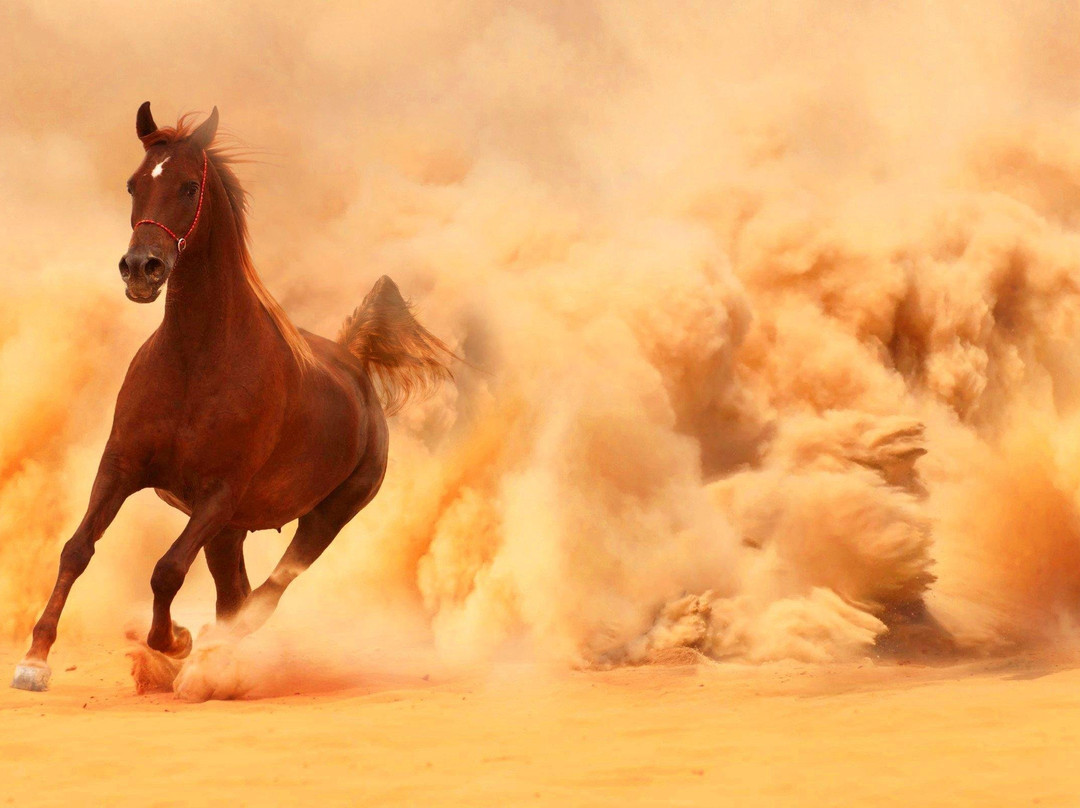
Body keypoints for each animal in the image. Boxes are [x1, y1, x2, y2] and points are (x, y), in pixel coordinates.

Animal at [12, 102, 453, 692]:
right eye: (133, 183)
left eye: (189, 186)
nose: (141, 269)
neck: (195, 362)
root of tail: (355, 362)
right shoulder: (121, 466)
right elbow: (77, 549)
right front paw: (34, 660)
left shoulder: (218, 493)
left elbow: (167, 569)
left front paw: (175, 641)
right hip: (231, 532)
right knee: (235, 593)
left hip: (325, 517)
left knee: (264, 597)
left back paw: (212, 658)